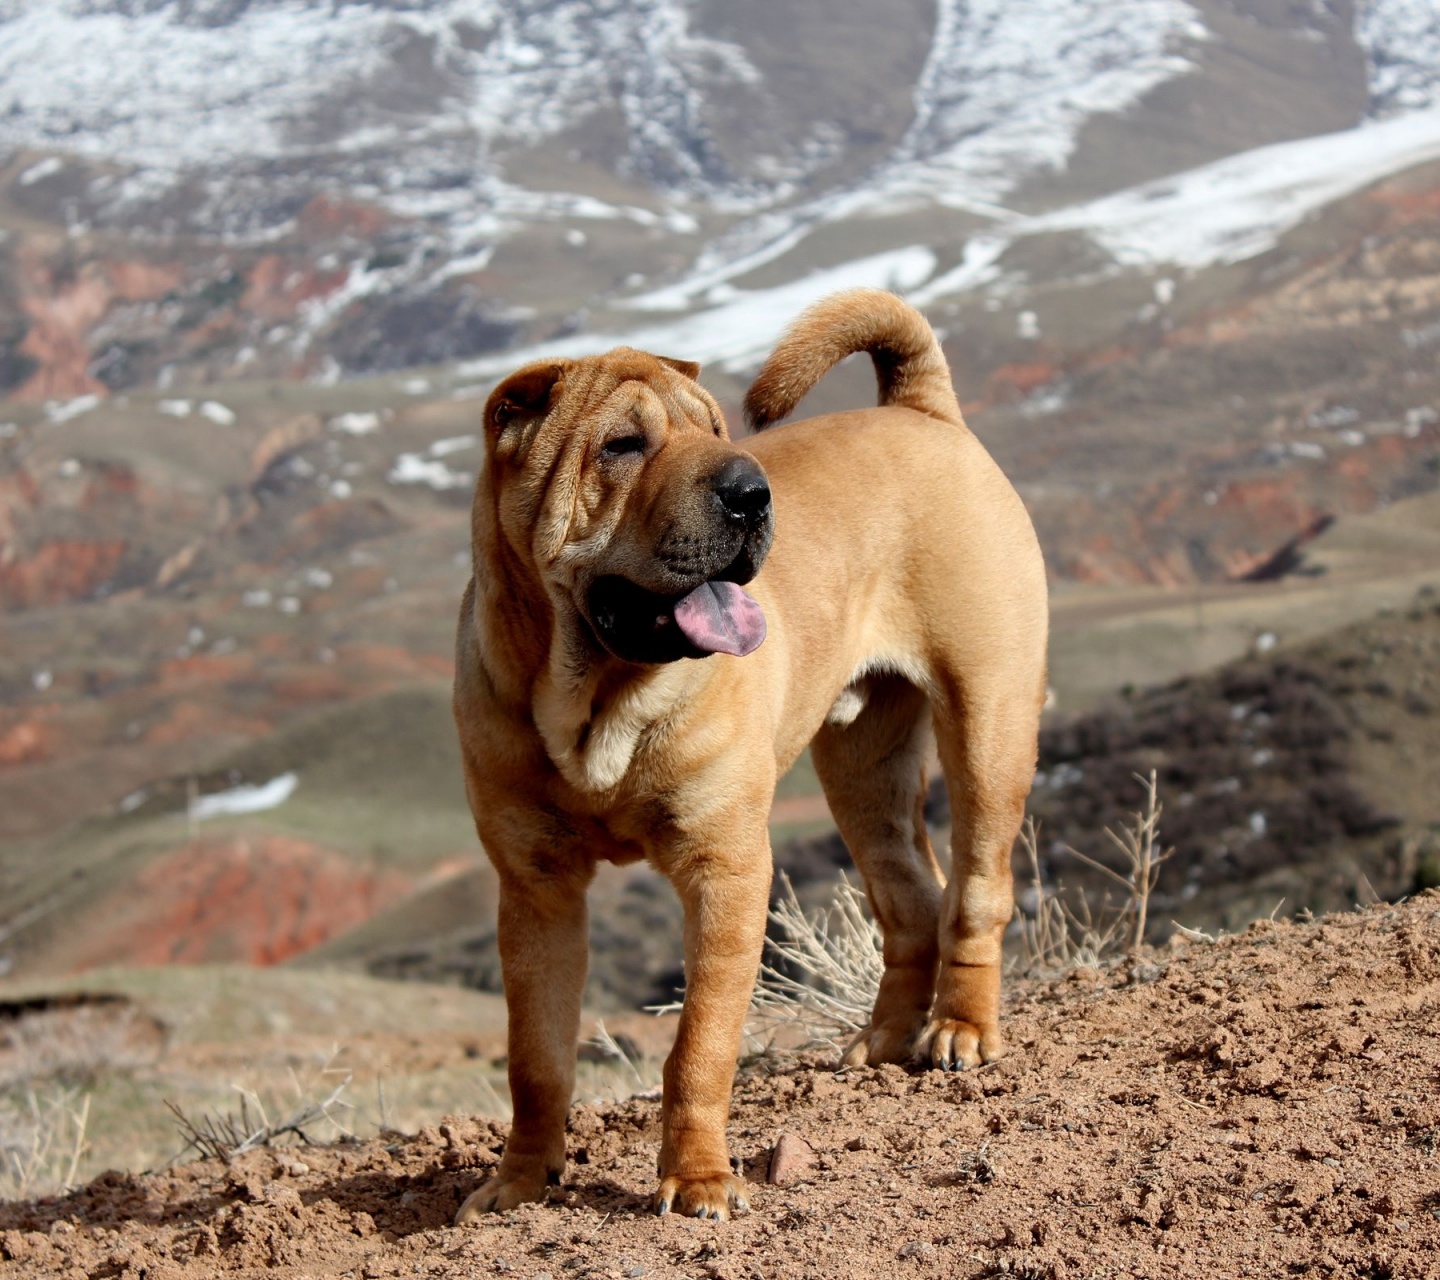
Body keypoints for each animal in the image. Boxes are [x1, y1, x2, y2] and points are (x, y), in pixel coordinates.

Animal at [452, 286, 1048, 1220]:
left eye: (715, 430)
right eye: (622, 445)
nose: (749, 491)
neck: (597, 701)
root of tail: (923, 412)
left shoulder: (724, 868)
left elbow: (698, 1044)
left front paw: (698, 1181)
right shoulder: (537, 891)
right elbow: (535, 1058)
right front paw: (516, 1184)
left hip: (989, 724)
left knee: (978, 889)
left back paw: (960, 1030)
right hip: (863, 771)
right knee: (911, 898)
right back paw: (883, 1042)